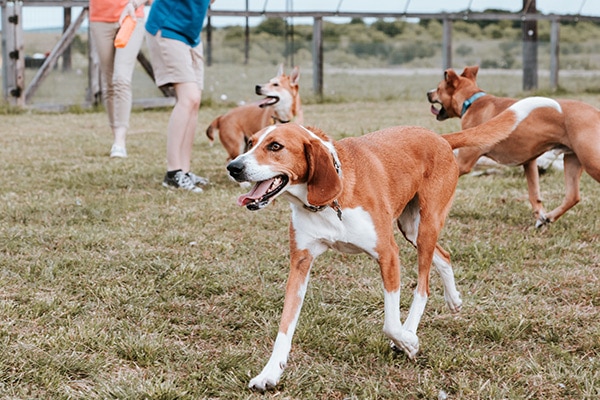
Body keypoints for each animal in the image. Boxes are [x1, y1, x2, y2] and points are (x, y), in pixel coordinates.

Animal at [227, 94, 560, 390]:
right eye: (250, 142)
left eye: (275, 146)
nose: (234, 167)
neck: (328, 201)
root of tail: (440, 138)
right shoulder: (300, 263)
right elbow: (285, 327)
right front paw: (269, 374)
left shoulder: (388, 253)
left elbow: (390, 321)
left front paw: (407, 340)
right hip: (411, 228)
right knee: (444, 256)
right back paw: (453, 299)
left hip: (426, 226)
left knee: (423, 287)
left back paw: (410, 331)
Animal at [426, 65, 600, 228]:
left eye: (439, 88)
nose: (428, 93)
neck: (472, 101)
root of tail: (596, 112)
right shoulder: (530, 162)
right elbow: (534, 193)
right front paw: (540, 217)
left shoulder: (464, 162)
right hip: (572, 160)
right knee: (573, 196)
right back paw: (549, 217)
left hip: (590, 162)